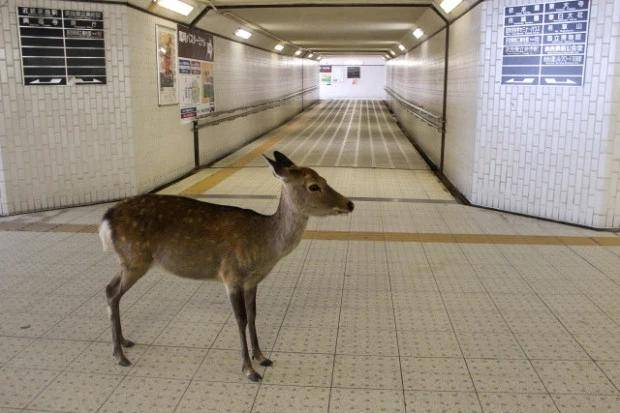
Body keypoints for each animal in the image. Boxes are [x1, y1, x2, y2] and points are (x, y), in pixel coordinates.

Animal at [100, 150, 356, 380]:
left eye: (324, 179)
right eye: (313, 186)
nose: (350, 203)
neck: (266, 246)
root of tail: (105, 220)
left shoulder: (252, 280)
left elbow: (253, 315)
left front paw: (262, 357)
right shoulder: (231, 275)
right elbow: (240, 319)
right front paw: (249, 370)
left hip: (128, 261)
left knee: (110, 289)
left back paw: (124, 342)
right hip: (135, 259)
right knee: (112, 292)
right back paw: (119, 356)